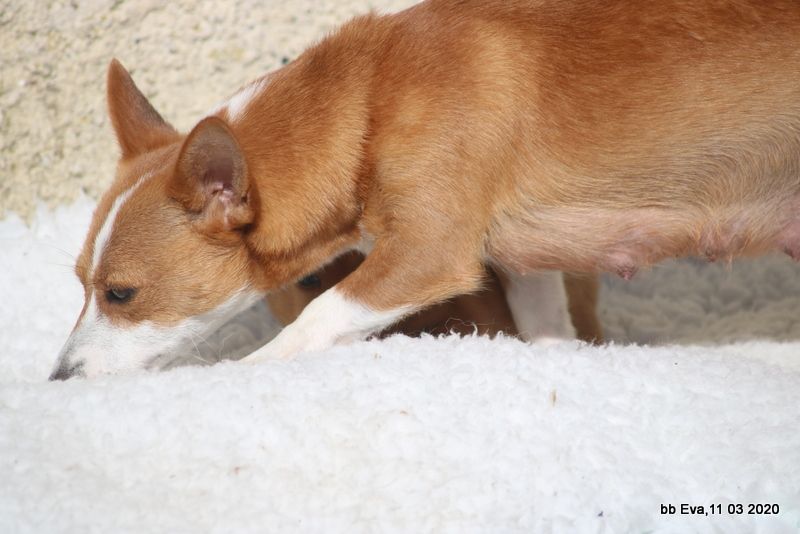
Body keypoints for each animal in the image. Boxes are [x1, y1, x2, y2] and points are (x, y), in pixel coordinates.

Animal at [51, 0, 800, 379]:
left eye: (122, 294)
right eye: (81, 284)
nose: (59, 379)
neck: (365, 100)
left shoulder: (426, 255)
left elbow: (315, 319)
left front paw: (234, 375)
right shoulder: (518, 259)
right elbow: (547, 326)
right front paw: (562, 362)